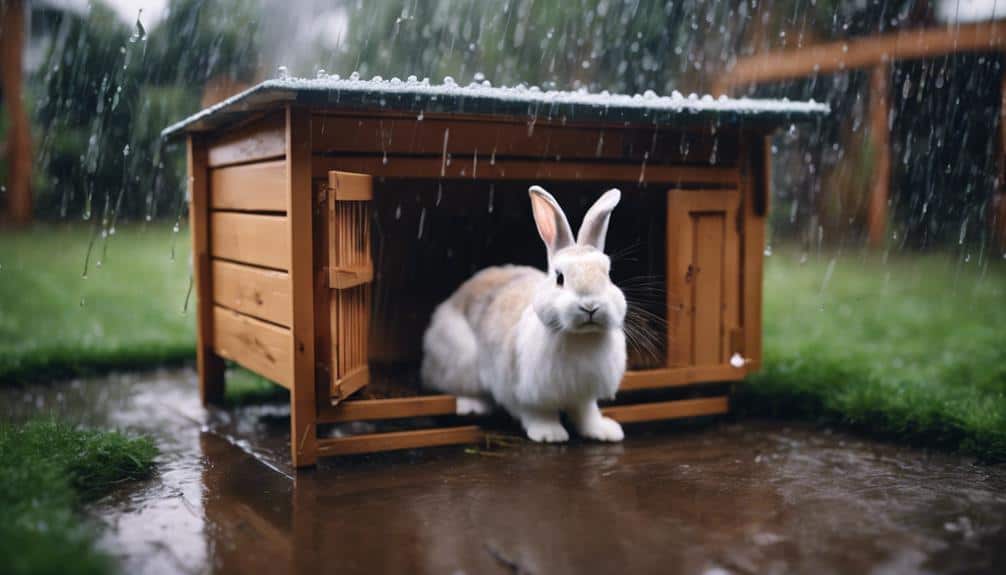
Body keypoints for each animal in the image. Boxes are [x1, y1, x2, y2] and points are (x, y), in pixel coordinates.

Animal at [421, 185, 627, 443]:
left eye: (608, 275)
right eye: (559, 278)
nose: (590, 306)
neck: (579, 338)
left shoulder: (583, 392)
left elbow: (587, 413)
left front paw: (605, 431)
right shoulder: (520, 389)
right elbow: (537, 413)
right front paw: (549, 434)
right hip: (459, 359)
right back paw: (471, 406)